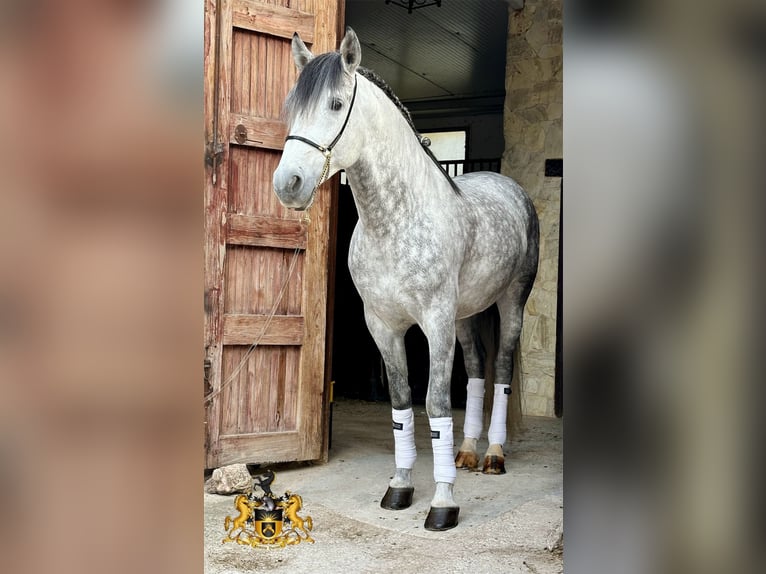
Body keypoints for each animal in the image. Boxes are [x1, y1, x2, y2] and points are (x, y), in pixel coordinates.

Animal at [276, 27, 540, 532]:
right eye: (290, 108)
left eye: (336, 104)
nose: (287, 184)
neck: (394, 222)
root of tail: (512, 188)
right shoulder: (383, 325)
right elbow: (401, 405)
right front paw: (400, 487)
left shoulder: (434, 323)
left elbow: (435, 405)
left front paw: (442, 504)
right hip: (465, 316)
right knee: (476, 370)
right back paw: (467, 452)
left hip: (510, 304)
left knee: (499, 371)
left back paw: (493, 455)